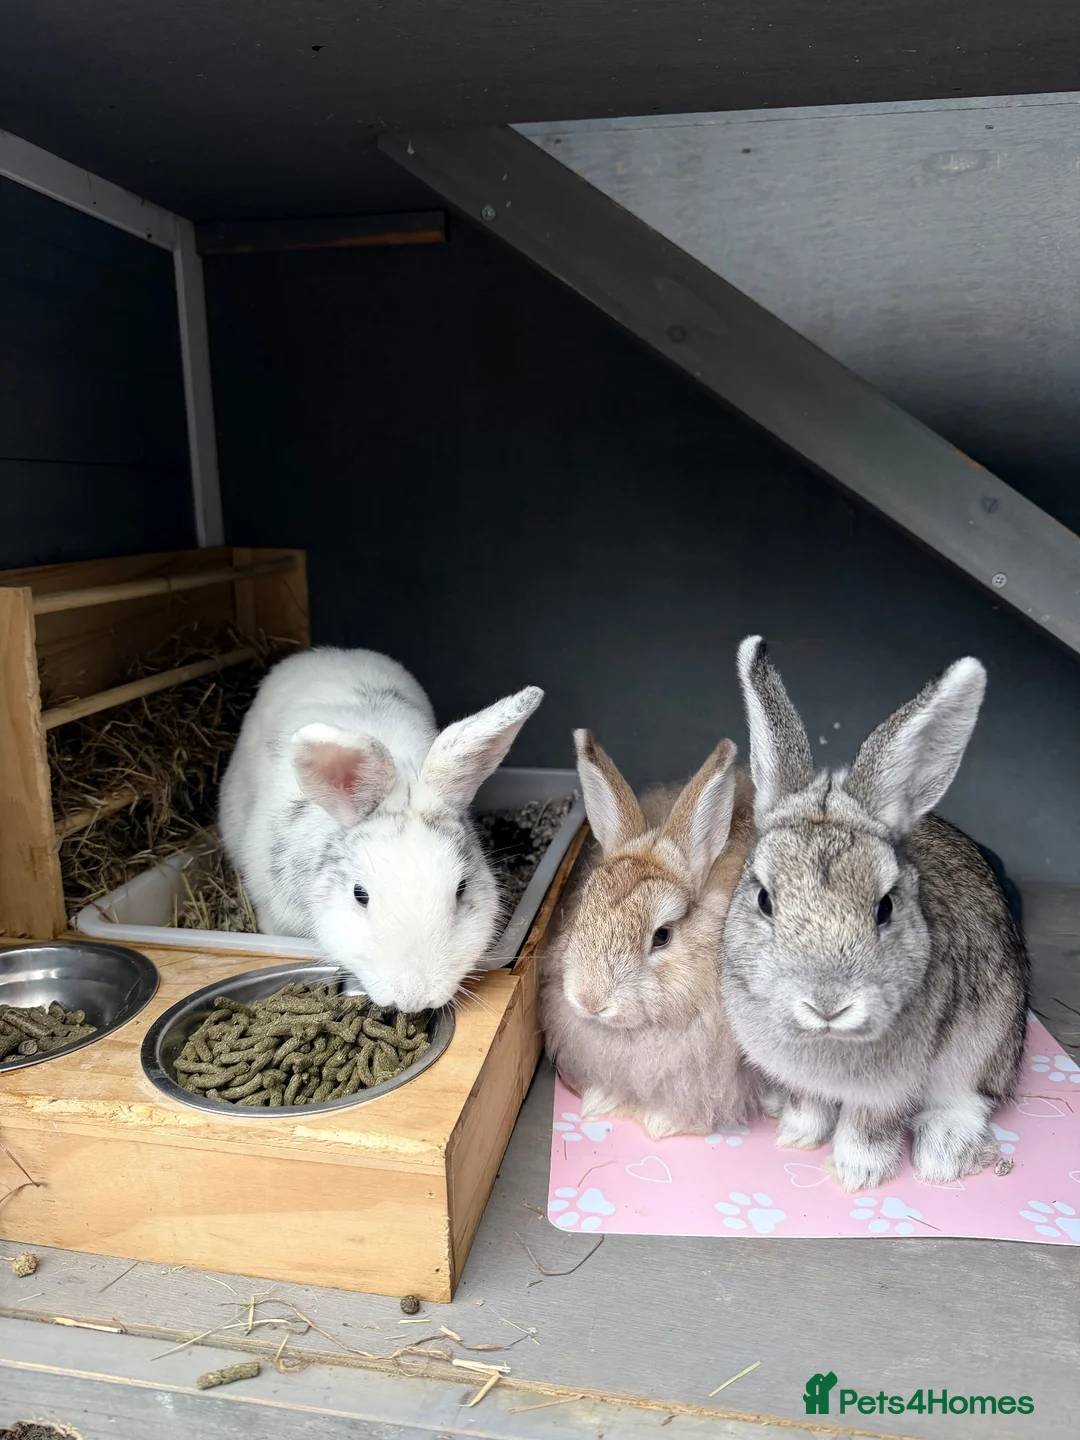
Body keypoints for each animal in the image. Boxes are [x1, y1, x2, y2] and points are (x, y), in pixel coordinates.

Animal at [721, 636, 1030, 1192]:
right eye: (764, 900)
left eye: (885, 907)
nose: (828, 1004)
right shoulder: (805, 1079)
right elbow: (810, 1102)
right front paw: (797, 1136)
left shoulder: (889, 1090)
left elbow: (869, 1127)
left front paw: (857, 1174)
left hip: (991, 1037)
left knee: (974, 1097)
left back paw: (944, 1155)